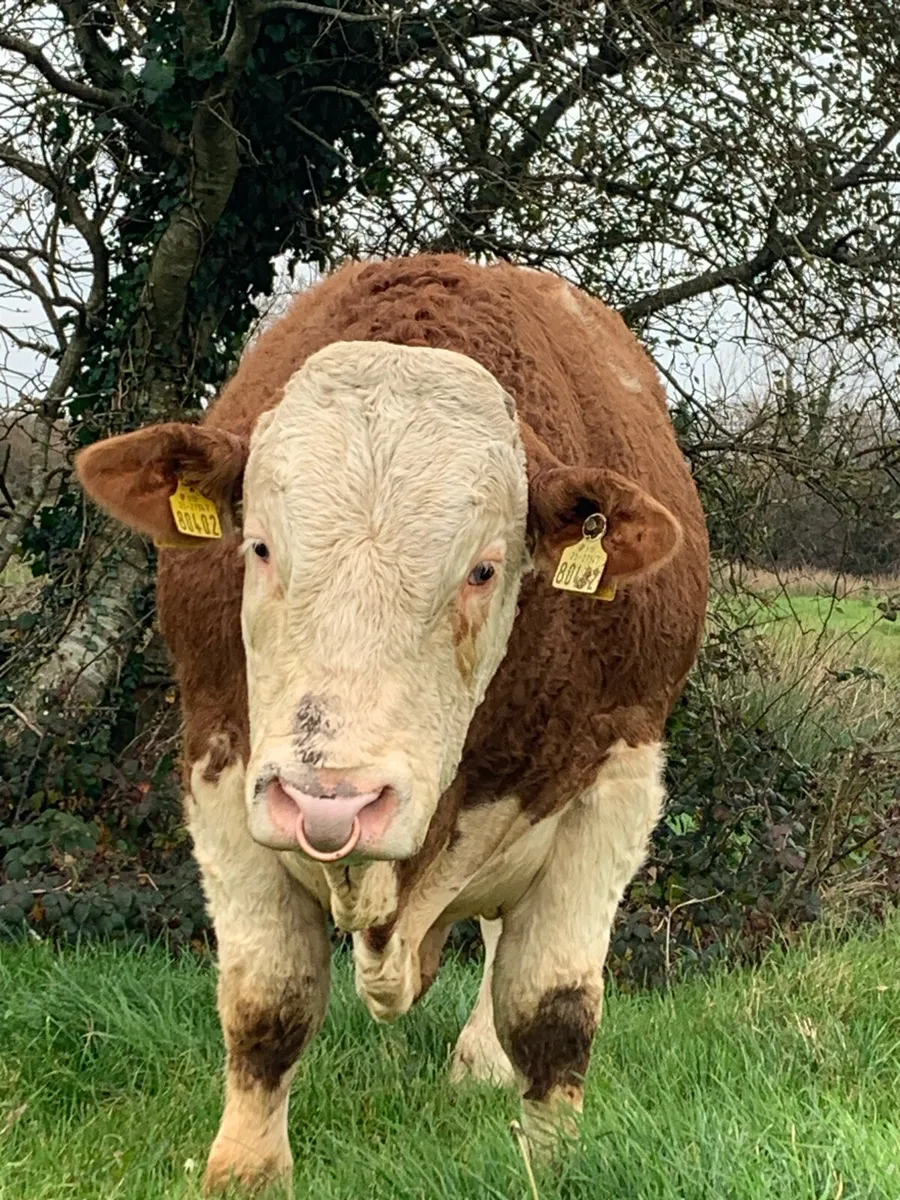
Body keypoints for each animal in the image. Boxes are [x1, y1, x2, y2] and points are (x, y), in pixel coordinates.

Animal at [76, 255, 708, 1193]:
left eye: (484, 569)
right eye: (259, 546)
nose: (332, 801)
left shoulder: (618, 776)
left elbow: (552, 1009)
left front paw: (547, 1165)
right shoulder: (222, 763)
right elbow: (267, 1001)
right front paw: (246, 1172)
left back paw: (480, 1061)